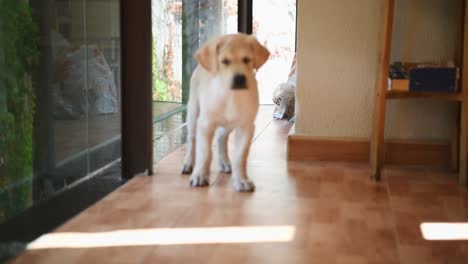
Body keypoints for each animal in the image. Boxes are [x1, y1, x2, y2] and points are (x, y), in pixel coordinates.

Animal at [183, 34, 270, 193]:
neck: (231, 96)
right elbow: (204, 153)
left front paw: (241, 180)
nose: (239, 78)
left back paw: (224, 162)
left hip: (228, 124)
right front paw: (200, 175)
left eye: (246, 59)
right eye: (224, 61)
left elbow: (240, 157)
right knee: (191, 139)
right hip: (193, 111)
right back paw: (188, 164)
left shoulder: (246, 127)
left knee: (220, 137)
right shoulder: (205, 124)